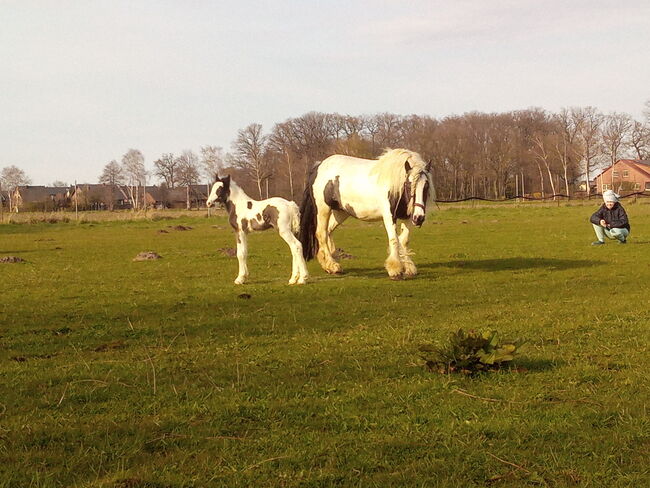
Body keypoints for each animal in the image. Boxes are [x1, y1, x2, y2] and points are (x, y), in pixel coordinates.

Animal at [300, 148, 432, 278]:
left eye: (426, 186)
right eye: (409, 185)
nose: (419, 218)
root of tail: (318, 166)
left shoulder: (407, 217)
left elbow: (404, 240)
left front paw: (409, 268)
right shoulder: (389, 216)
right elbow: (394, 239)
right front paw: (395, 270)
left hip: (340, 212)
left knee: (328, 231)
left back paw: (329, 263)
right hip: (323, 209)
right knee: (321, 233)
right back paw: (332, 265)